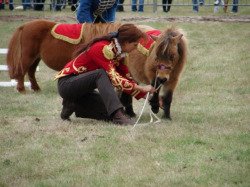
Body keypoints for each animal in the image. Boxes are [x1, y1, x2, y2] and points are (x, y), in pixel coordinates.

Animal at [6, 19, 187, 119]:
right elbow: (150, 90)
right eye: (157, 56)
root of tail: (25, 25)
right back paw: (22, 90)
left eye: (173, 56)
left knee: (30, 72)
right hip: (29, 56)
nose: (163, 77)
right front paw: (155, 106)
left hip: (36, 58)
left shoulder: (171, 78)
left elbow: (167, 97)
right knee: (23, 72)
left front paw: (166, 115)